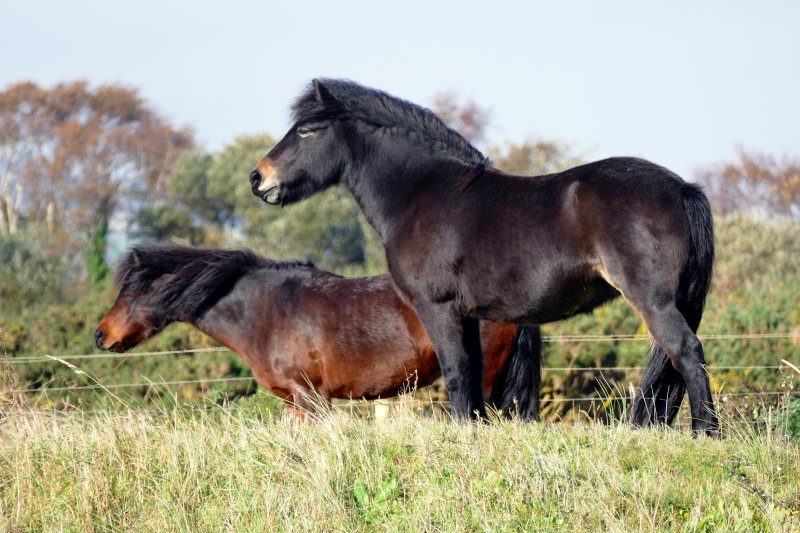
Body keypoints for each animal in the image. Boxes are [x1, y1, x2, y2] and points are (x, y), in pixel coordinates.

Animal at [250, 80, 720, 436]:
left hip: (653, 301)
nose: (258, 178)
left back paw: (707, 433)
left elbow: (457, 372)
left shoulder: (437, 307)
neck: (423, 194)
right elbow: (473, 378)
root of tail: (682, 188)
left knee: (687, 352)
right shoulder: (471, 315)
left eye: (308, 130)